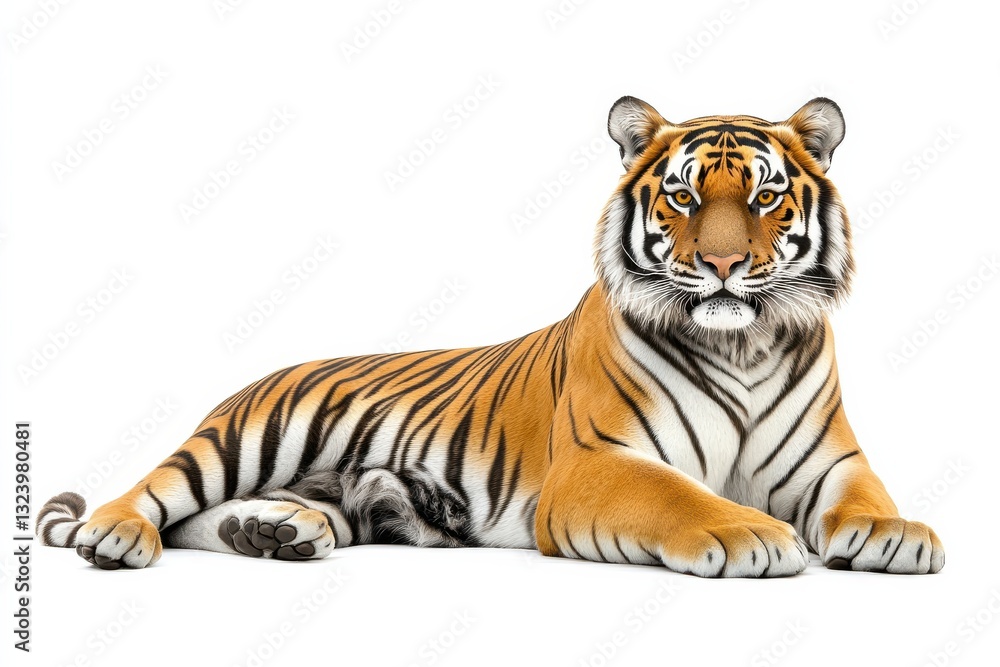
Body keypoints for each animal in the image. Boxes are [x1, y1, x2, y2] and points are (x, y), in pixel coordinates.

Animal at [37, 96, 944, 577]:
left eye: (764, 197)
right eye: (684, 197)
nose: (722, 265)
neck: (742, 344)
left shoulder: (830, 461)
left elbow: (868, 496)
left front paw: (898, 534)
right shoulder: (597, 463)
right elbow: (679, 495)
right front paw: (746, 532)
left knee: (228, 517)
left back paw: (273, 535)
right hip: (243, 436)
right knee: (159, 490)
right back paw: (117, 536)